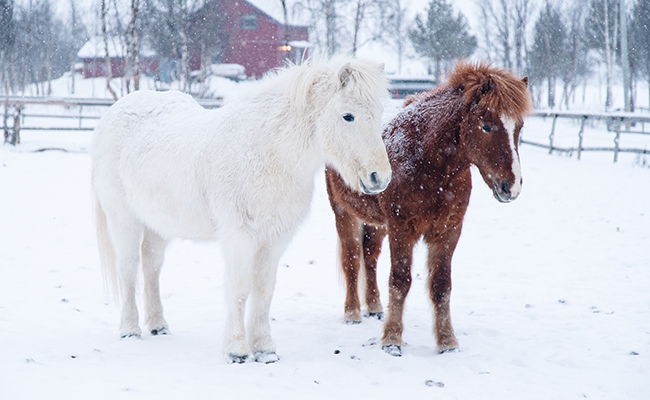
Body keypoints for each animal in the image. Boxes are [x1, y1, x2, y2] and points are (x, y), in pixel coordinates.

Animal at [90, 57, 390, 364]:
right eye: (348, 116)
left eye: (379, 112)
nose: (379, 177)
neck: (268, 154)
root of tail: (114, 113)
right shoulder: (239, 237)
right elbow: (239, 289)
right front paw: (237, 351)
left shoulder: (275, 240)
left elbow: (264, 290)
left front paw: (265, 349)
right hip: (124, 220)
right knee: (128, 268)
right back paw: (130, 330)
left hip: (158, 225)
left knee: (151, 267)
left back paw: (158, 325)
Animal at [326, 61, 528, 356]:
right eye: (487, 126)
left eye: (519, 127)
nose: (511, 187)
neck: (426, 160)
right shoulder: (401, 230)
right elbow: (400, 281)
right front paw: (392, 340)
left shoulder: (448, 231)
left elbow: (441, 285)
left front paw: (447, 341)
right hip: (344, 214)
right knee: (351, 260)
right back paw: (352, 312)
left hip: (377, 224)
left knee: (370, 257)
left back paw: (374, 306)